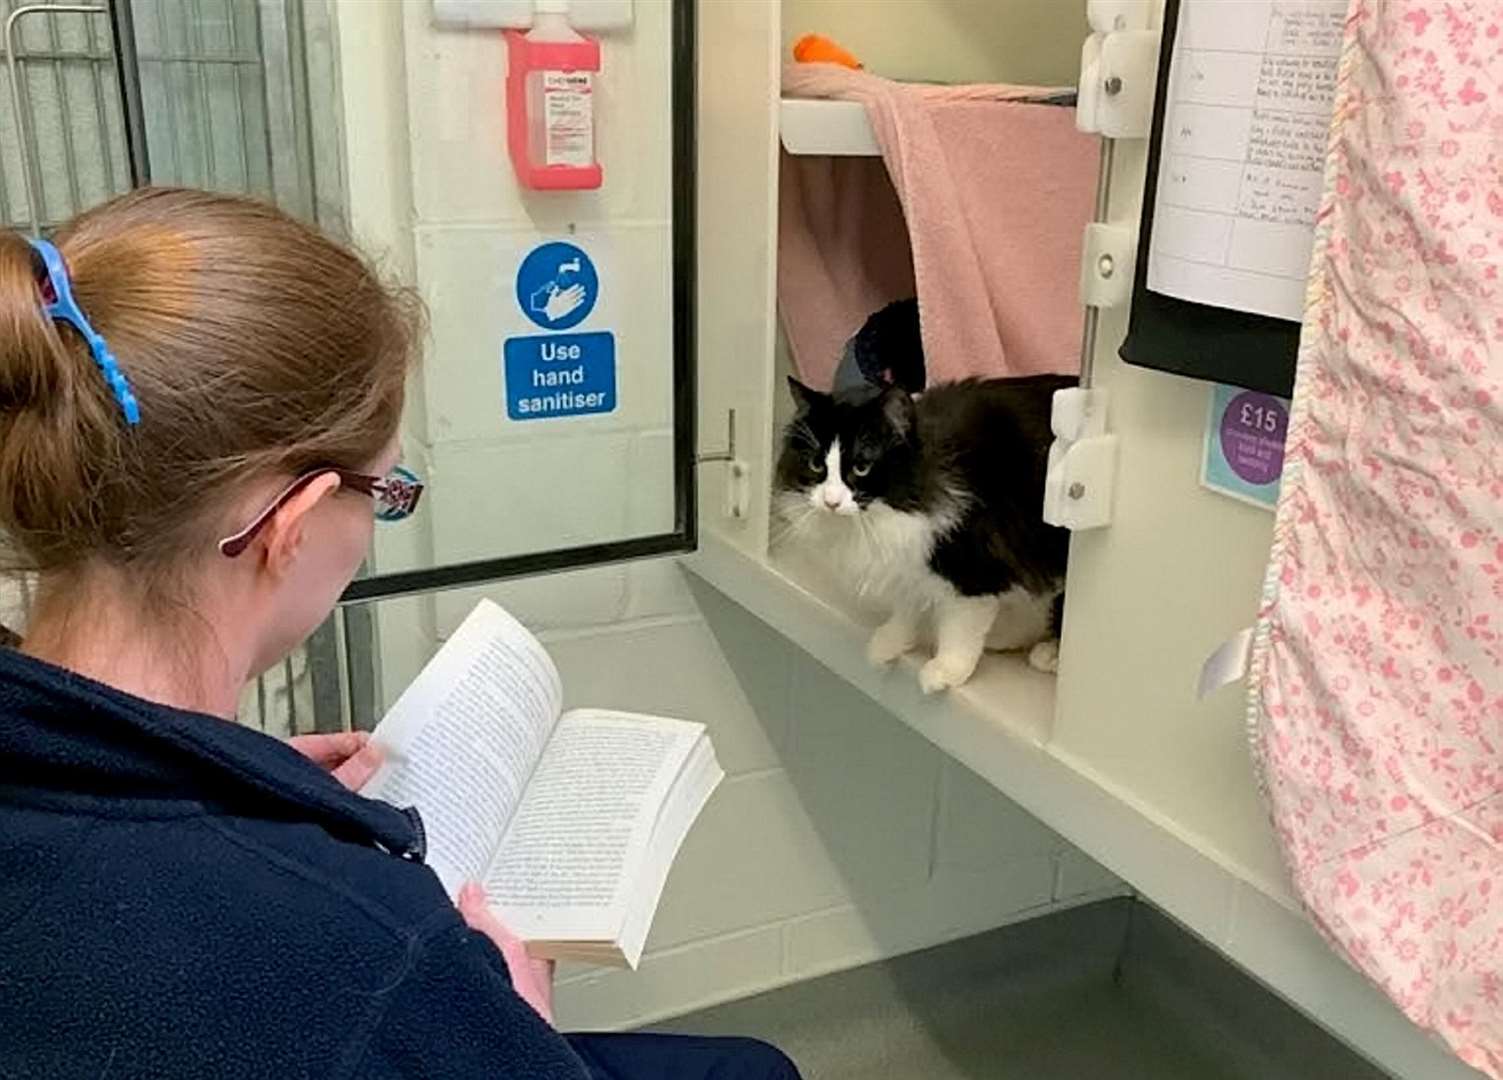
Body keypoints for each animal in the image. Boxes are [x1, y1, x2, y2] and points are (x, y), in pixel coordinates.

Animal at [775, 372, 1070, 693]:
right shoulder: (906, 557)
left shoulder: (971, 566)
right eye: (816, 464)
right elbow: (907, 606)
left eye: (862, 467)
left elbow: (961, 627)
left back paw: (1049, 654)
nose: (831, 502)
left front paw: (946, 671)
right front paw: (890, 642)